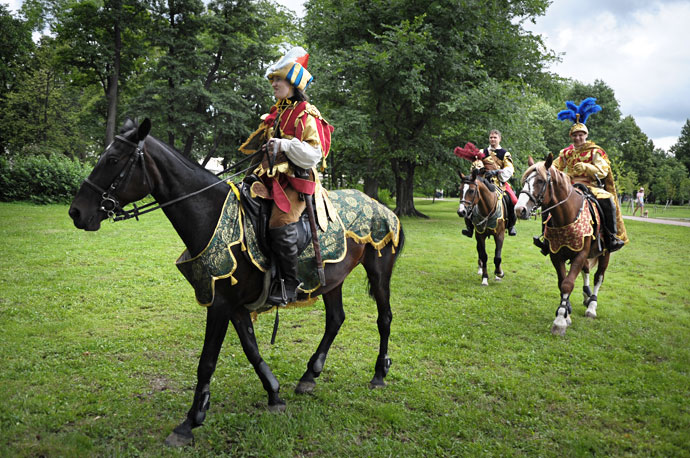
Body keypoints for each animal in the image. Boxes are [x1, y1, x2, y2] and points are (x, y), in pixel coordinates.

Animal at [68, 119, 404, 448]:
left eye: (113, 159)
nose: (76, 212)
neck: (210, 215)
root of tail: (383, 208)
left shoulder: (219, 304)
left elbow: (207, 361)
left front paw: (189, 422)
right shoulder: (235, 305)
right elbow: (251, 350)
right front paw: (274, 394)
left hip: (379, 270)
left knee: (384, 318)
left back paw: (378, 374)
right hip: (333, 280)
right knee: (335, 319)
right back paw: (309, 376)